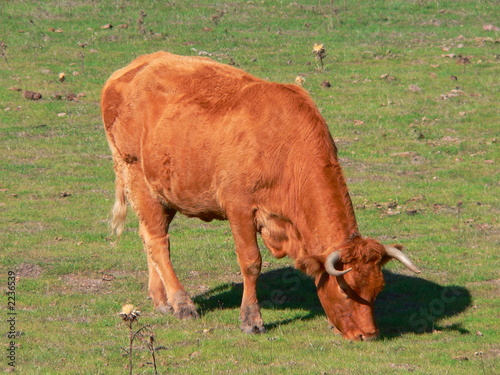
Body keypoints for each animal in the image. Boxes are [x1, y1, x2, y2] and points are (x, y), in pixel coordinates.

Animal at [101, 51, 422, 342]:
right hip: (137, 178)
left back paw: (161, 300)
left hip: (162, 193)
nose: (368, 334)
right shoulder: (239, 208)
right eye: (346, 290)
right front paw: (251, 320)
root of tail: (134, 67)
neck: (284, 146)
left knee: (149, 237)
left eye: (376, 290)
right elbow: (251, 262)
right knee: (158, 243)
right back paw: (182, 303)